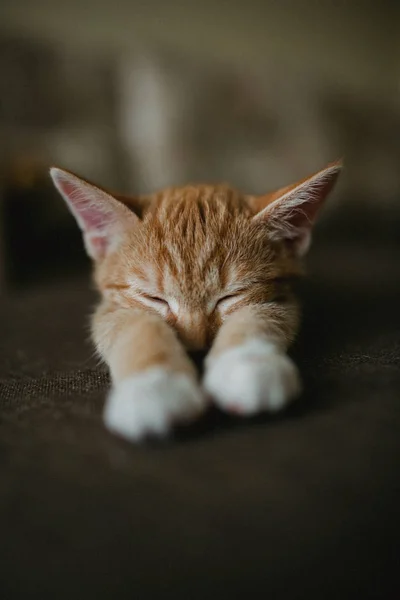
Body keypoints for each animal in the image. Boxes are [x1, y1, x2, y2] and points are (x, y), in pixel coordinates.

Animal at [50, 159, 340, 440]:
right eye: (154, 299)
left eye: (229, 297)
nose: (196, 346)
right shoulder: (111, 308)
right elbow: (136, 325)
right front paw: (153, 385)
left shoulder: (282, 298)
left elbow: (259, 315)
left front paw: (248, 363)